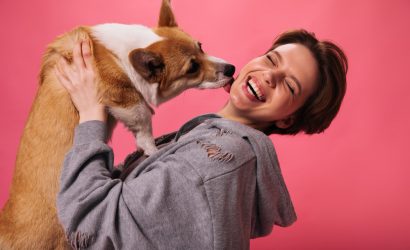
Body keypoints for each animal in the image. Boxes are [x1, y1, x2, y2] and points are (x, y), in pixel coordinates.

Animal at [0, 0, 234, 249]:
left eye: (201, 46)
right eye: (192, 68)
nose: (231, 69)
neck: (124, 53)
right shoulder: (123, 97)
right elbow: (143, 120)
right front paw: (152, 149)